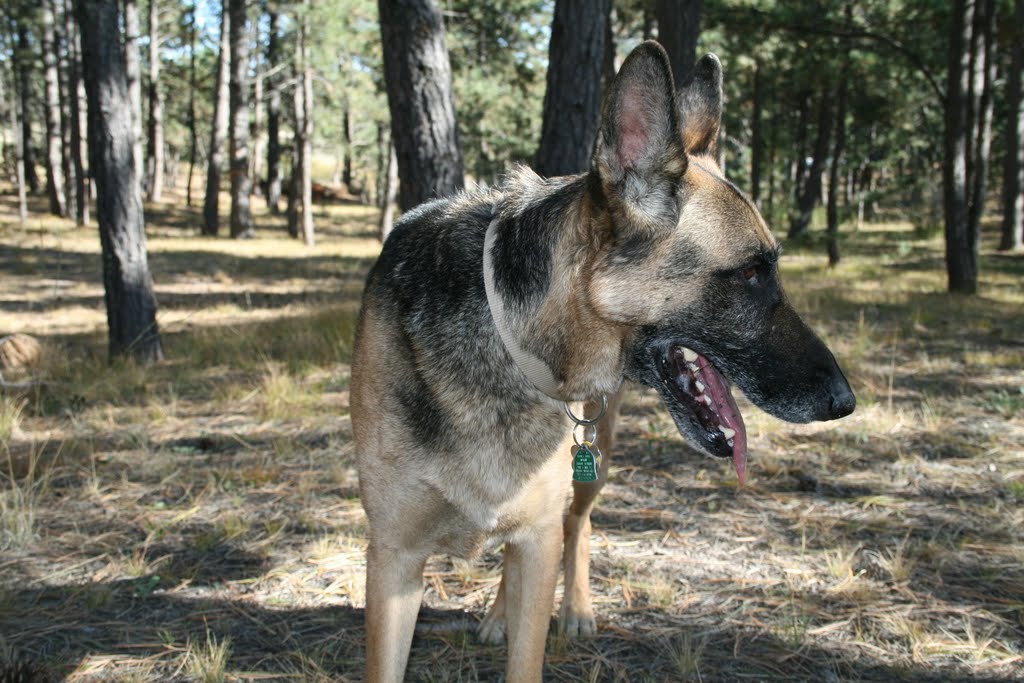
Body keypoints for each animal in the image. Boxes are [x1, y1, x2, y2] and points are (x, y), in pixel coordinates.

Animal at [354, 42, 856, 683]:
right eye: (750, 272)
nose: (845, 401)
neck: (507, 339)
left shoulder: (538, 537)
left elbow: (531, 634)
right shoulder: (392, 561)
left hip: (590, 467)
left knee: (577, 524)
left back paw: (575, 609)